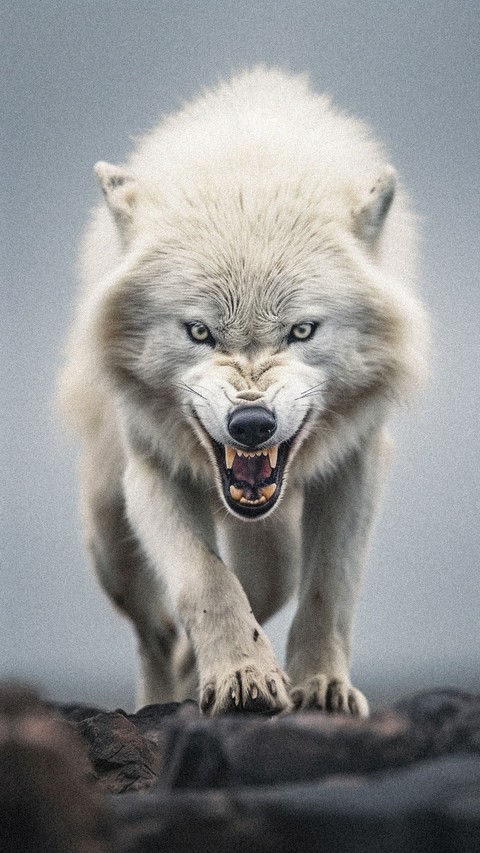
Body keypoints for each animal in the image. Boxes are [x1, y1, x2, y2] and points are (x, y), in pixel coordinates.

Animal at [59, 67, 428, 716]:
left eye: (301, 331)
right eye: (200, 332)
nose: (251, 424)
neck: (248, 170)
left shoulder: (357, 464)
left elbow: (327, 587)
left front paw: (319, 687)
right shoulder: (151, 472)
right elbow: (206, 580)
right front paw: (242, 676)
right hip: (109, 536)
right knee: (154, 633)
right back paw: (163, 691)